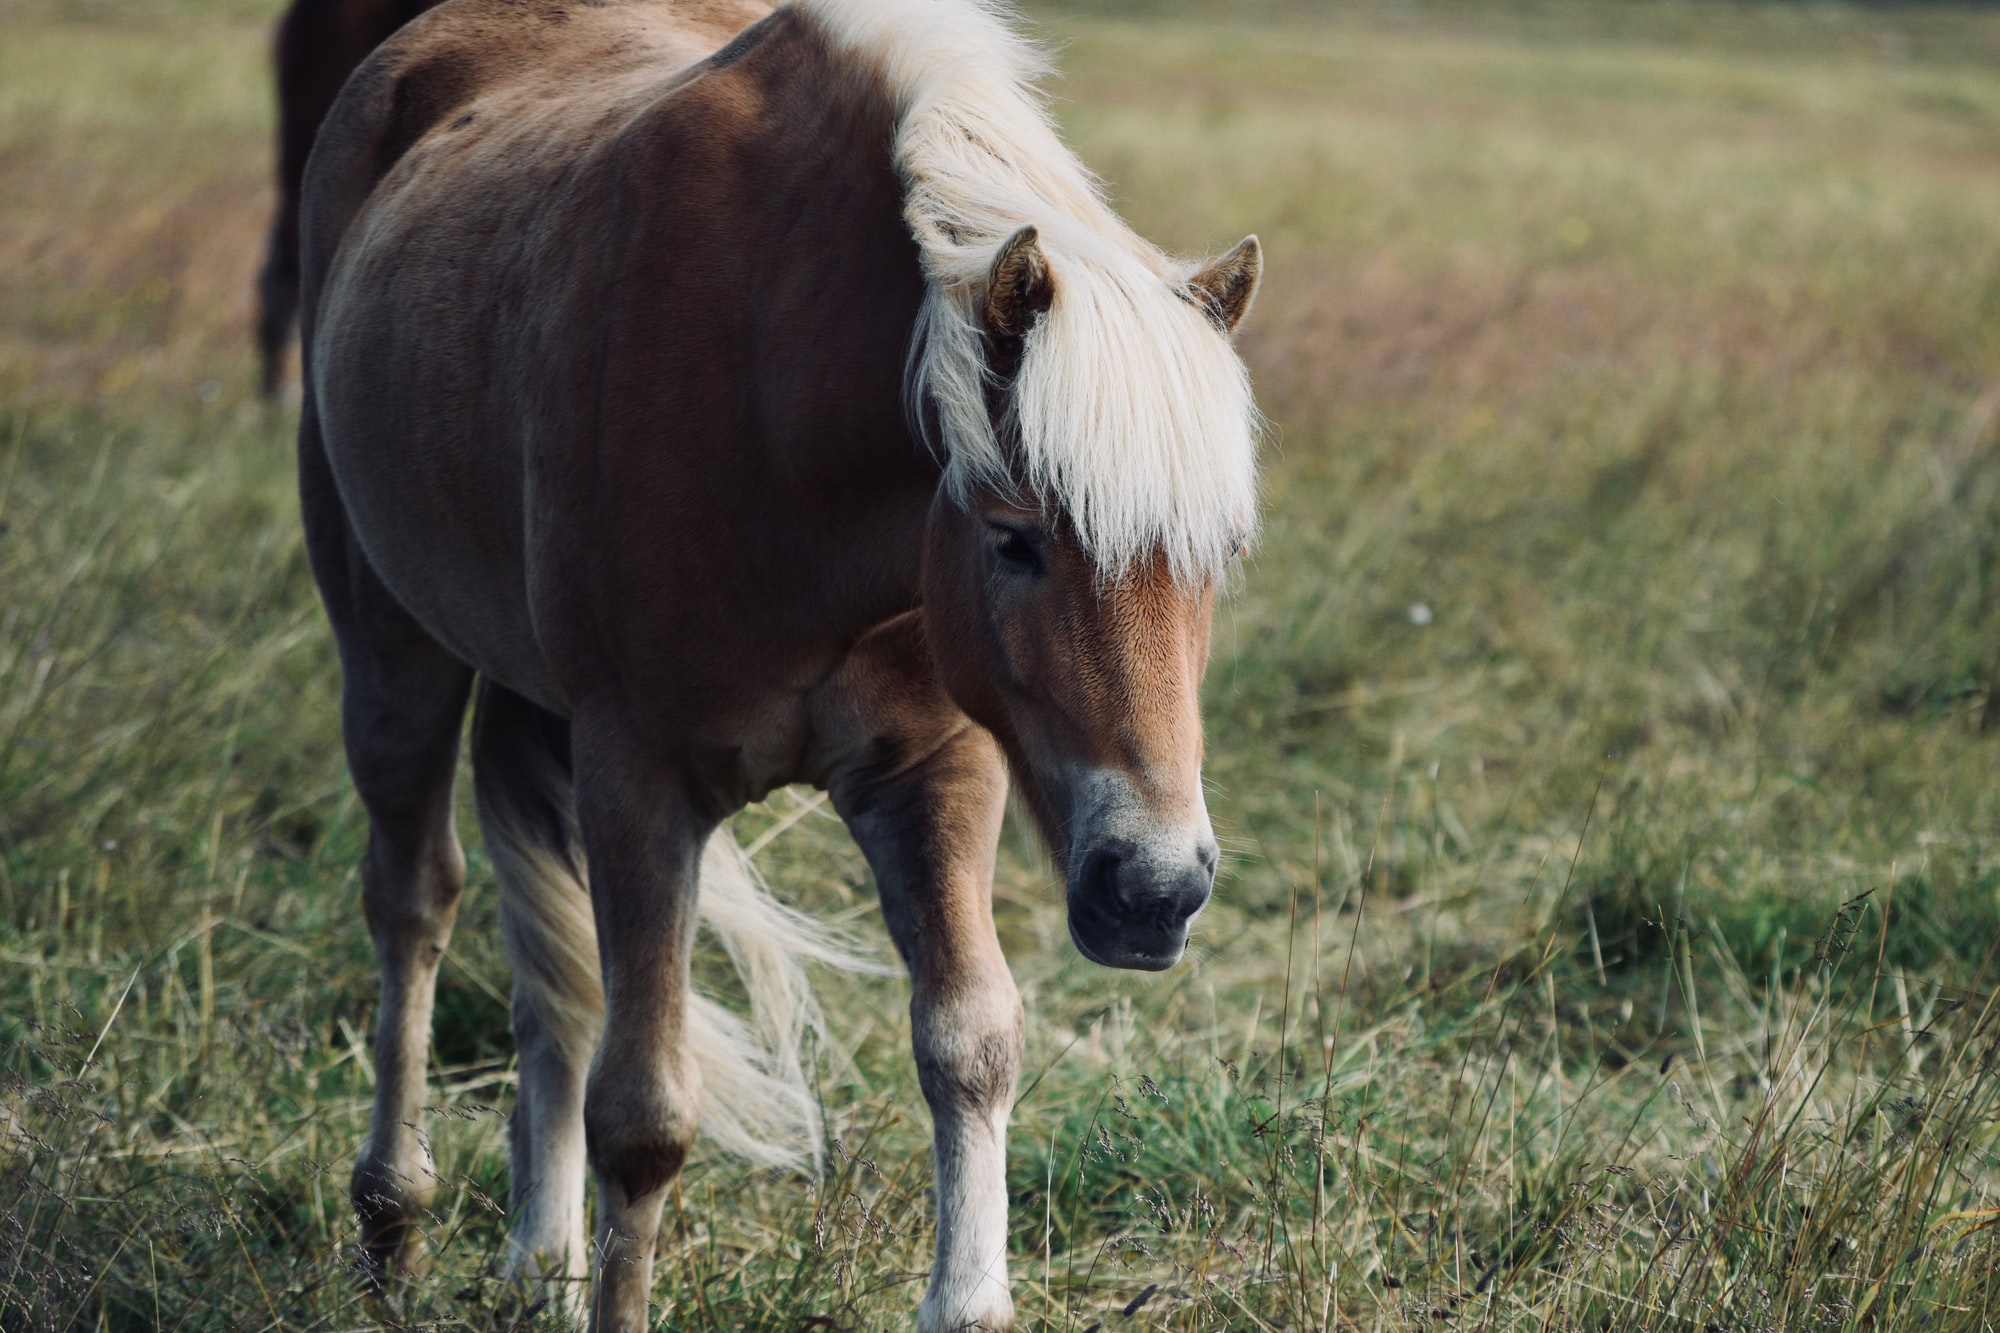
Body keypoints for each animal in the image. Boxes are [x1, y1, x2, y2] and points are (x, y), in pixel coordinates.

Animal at [296, 0, 1264, 1325]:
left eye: (1219, 554)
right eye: (1014, 537)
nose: (1154, 890)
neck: (781, 410)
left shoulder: (935, 773)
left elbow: (971, 1042)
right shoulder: (639, 778)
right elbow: (644, 1117)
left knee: (545, 963)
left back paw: (536, 1257)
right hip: (391, 645)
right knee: (414, 900)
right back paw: (392, 1217)